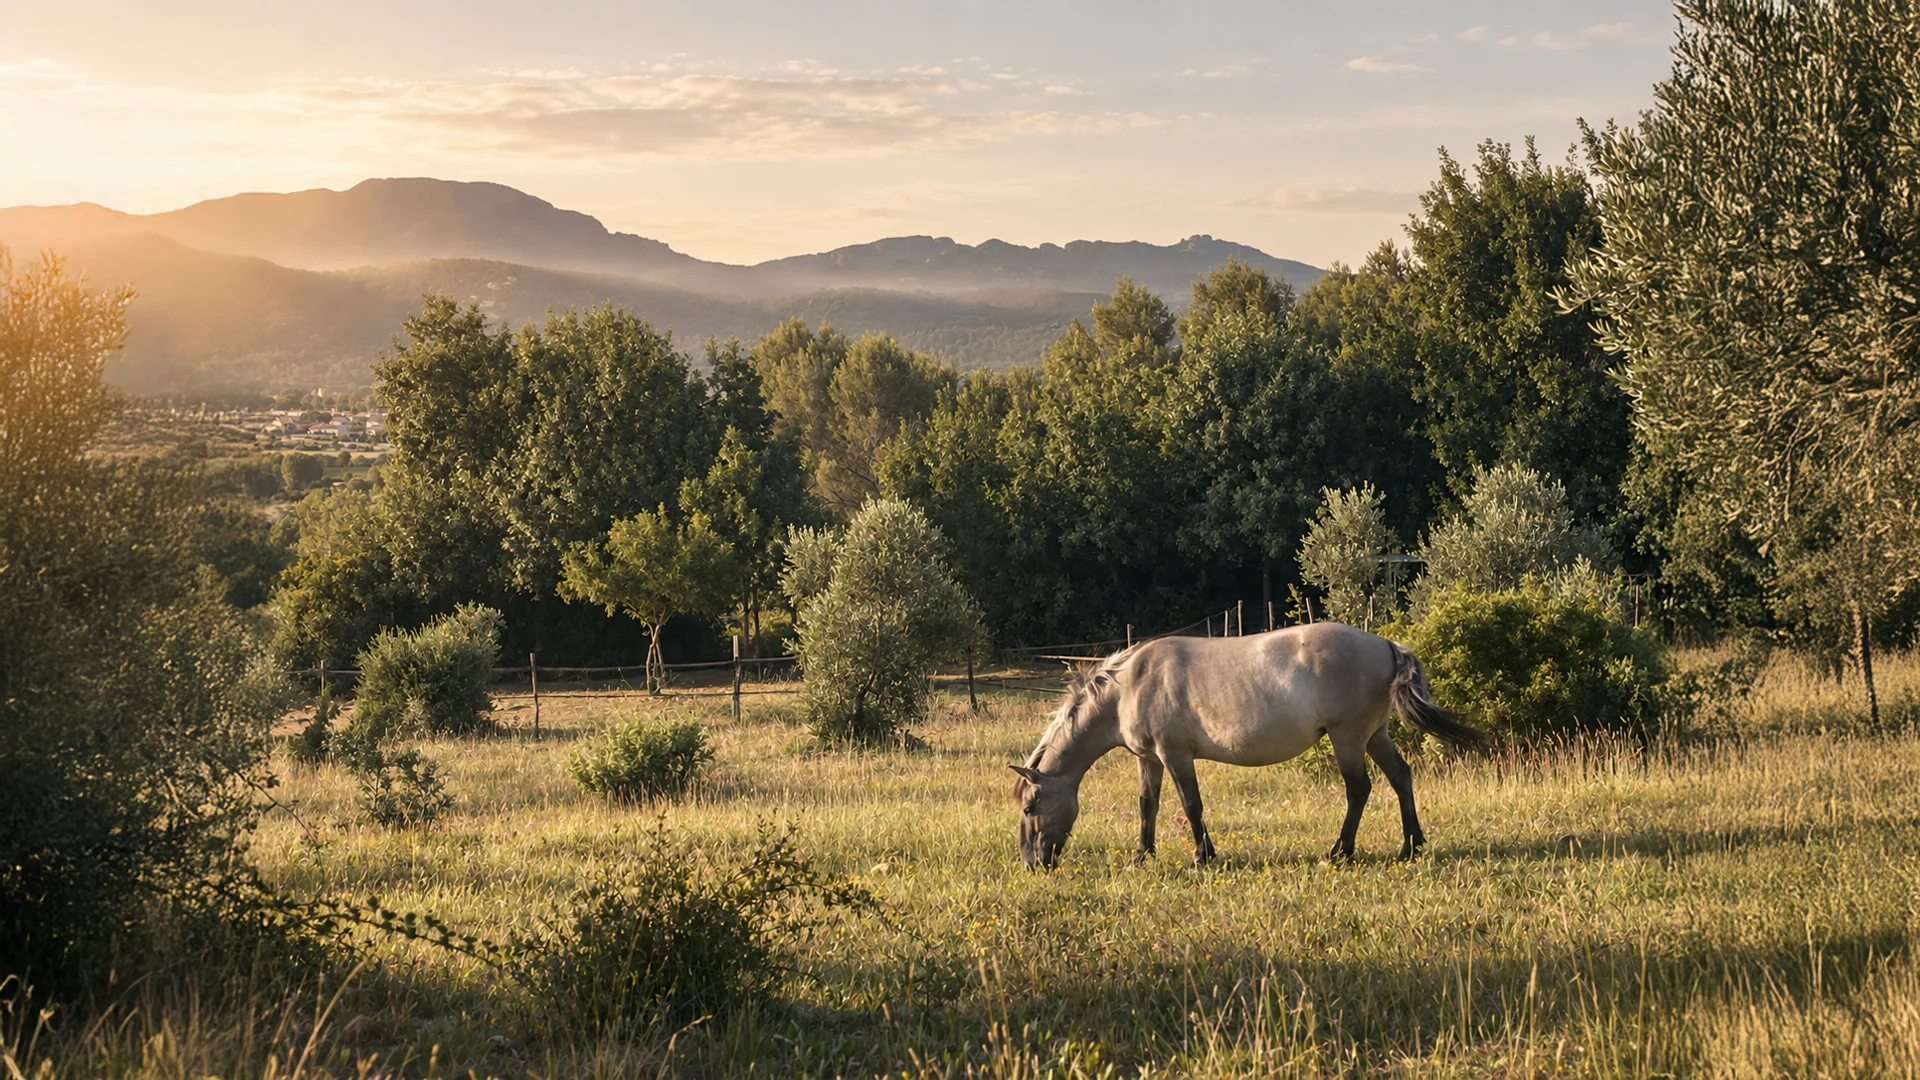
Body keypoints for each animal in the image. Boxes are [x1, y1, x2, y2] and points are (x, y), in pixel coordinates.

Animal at [1010, 621, 1484, 870]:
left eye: (1030, 808)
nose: (1033, 863)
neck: (1130, 684)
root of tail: (1387, 644)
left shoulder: (1174, 755)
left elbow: (1191, 805)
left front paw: (1203, 856)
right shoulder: (1150, 759)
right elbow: (1149, 804)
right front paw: (1142, 854)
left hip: (1348, 738)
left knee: (1359, 789)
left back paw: (1340, 851)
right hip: (1375, 735)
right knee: (1401, 777)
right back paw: (1412, 846)